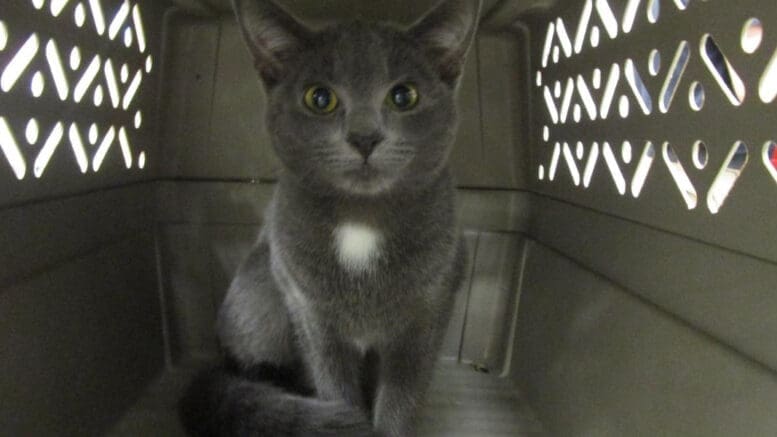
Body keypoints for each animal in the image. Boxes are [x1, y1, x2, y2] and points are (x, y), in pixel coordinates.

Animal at [179, 0, 478, 434]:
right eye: (319, 99)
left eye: (404, 96)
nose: (365, 136)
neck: (361, 221)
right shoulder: (313, 320)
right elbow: (336, 387)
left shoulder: (427, 318)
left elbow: (401, 398)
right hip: (260, 290)